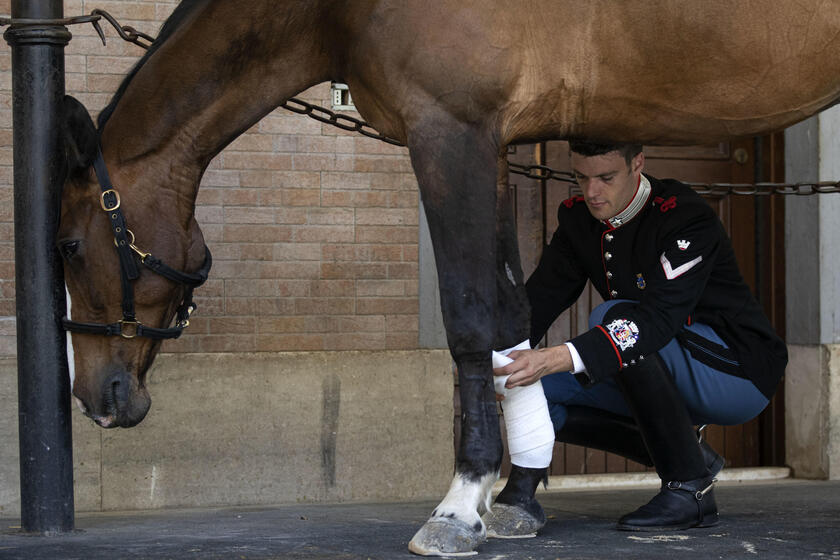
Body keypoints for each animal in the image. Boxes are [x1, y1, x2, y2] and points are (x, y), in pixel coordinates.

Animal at [59, 0, 840, 556]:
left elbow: (469, 316)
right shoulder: (489, 145)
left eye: (67, 245)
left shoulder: (449, 130)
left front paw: (461, 504)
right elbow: (511, 320)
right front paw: (515, 496)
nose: (98, 400)